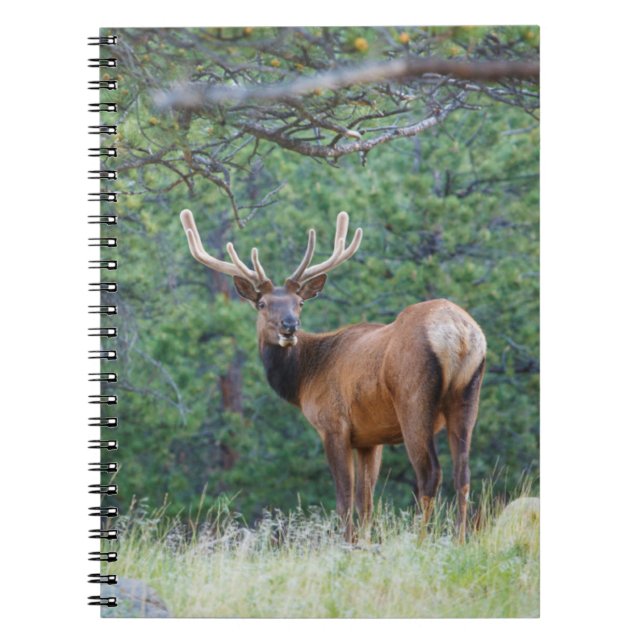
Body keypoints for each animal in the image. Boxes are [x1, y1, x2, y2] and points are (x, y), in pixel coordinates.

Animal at [180, 208, 486, 542]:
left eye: (299, 303)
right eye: (262, 304)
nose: (289, 326)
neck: (304, 379)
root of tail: (460, 334)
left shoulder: (333, 424)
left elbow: (344, 499)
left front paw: (347, 543)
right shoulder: (369, 438)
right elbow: (367, 501)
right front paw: (364, 542)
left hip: (414, 399)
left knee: (430, 473)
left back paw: (419, 541)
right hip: (468, 395)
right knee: (463, 472)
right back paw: (460, 539)